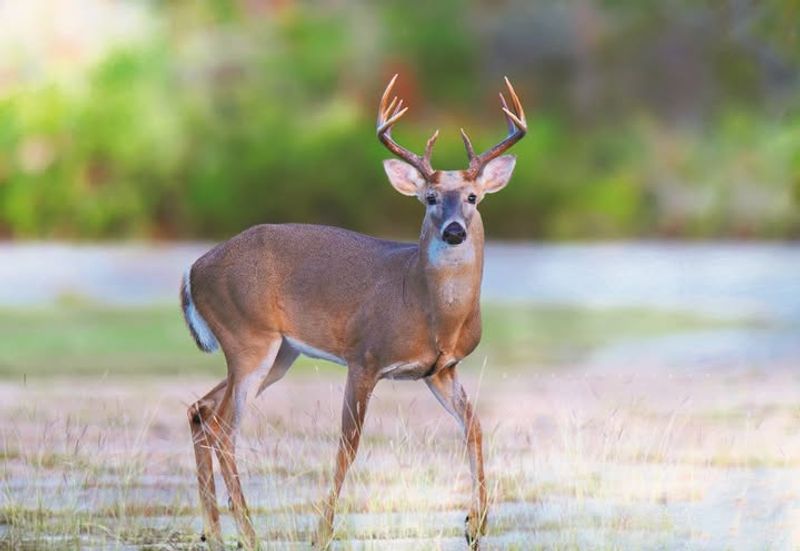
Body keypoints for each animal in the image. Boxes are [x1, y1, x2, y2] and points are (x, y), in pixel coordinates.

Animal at [182, 74, 526, 550]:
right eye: (430, 198)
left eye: (473, 197)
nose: (455, 231)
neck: (428, 310)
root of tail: (193, 270)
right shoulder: (364, 356)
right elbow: (348, 445)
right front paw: (322, 534)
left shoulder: (440, 370)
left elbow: (473, 427)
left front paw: (475, 525)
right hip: (248, 337)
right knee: (223, 428)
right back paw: (249, 535)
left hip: (279, 352)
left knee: (200, 410)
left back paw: (214, 532)